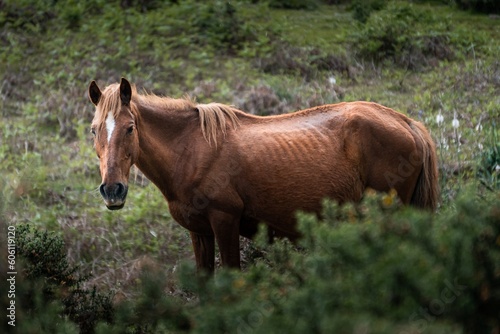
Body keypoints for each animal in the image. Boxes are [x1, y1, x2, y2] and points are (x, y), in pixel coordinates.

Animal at [89, 77, 438, 272]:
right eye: (94, 130)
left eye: (130, 128)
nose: (113, 190)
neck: (191, 149)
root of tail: (408, 124)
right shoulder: (199, 232)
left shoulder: (224, 221)